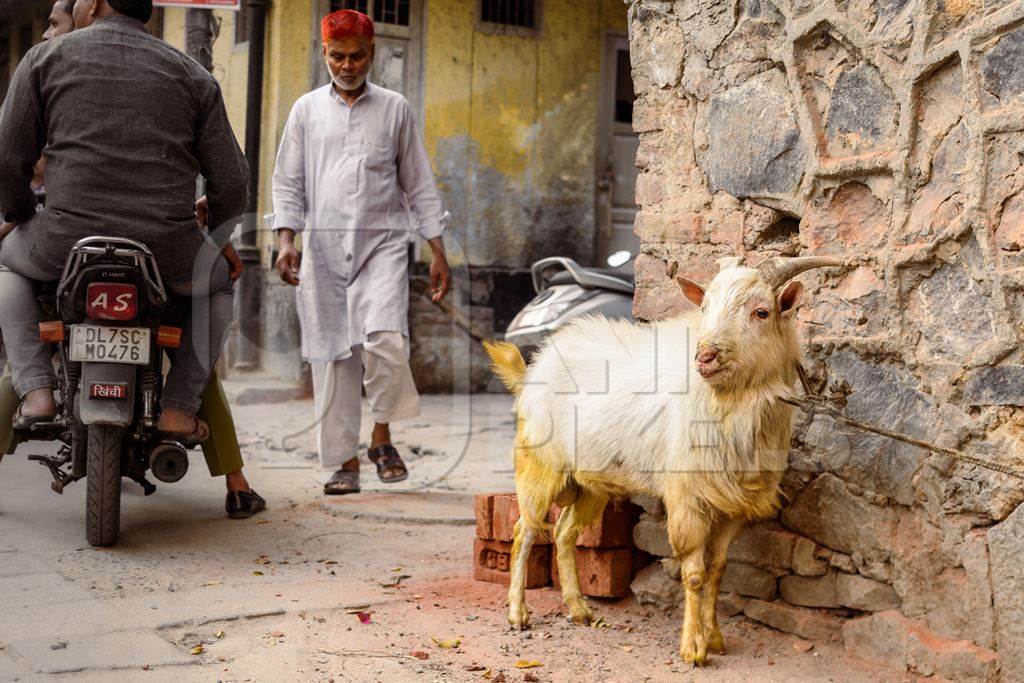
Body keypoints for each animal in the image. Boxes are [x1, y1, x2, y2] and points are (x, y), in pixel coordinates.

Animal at [483, 254, 843, 663]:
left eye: (761, 312)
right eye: (704, 308)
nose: (705, 357)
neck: (728, 405)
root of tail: (533, 369)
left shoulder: (733, 505)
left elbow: (717, 569)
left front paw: (715, 637)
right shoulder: (686, 496)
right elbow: (694, 573)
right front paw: (694, 648)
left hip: (590, 482)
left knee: (563, 533)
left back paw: (579, 610)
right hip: (539, 464)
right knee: (524, 531)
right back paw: (518, 614)